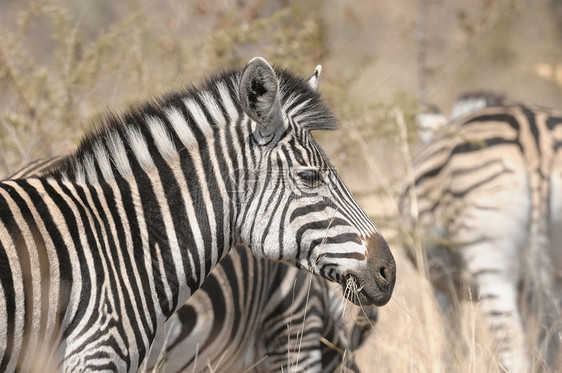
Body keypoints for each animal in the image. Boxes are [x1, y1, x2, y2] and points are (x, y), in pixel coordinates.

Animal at [400, 99, 556, 372]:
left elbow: (453, 344)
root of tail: (531, 135)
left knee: (513, 351)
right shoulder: (526, 288)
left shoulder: (440, 285)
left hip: (490, 265)